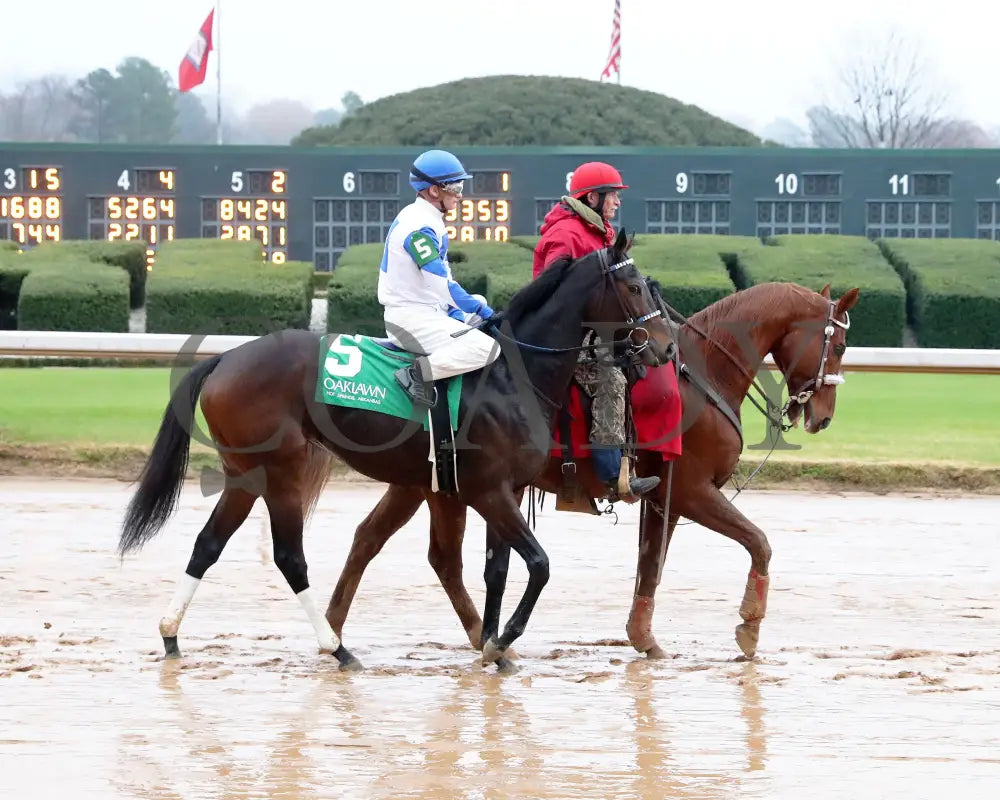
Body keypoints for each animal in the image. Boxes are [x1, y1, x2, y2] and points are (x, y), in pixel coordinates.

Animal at [119, 228, 680, 672]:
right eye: (635, 286)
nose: (666, 347)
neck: (511, 374)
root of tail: (226, 357)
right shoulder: (488, 490)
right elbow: (538, 564)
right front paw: (501, 642)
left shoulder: (504, 488)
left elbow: (497, 569)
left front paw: (492, 646)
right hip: (282, 470)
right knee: (290, 557)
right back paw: (337, 648)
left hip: (246, 473)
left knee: (208, 544)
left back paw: (171, 634)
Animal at [324, 282, 856, 668]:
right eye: (841, 345)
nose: (826, 415)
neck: (702, 373)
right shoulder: (690, 491)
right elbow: (757, 543)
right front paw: (748, 627)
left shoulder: (663, 499)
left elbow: (651, 566)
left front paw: (643, 637)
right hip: (447, 486)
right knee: (433, 557)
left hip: (425, 481)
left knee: (378, 540)